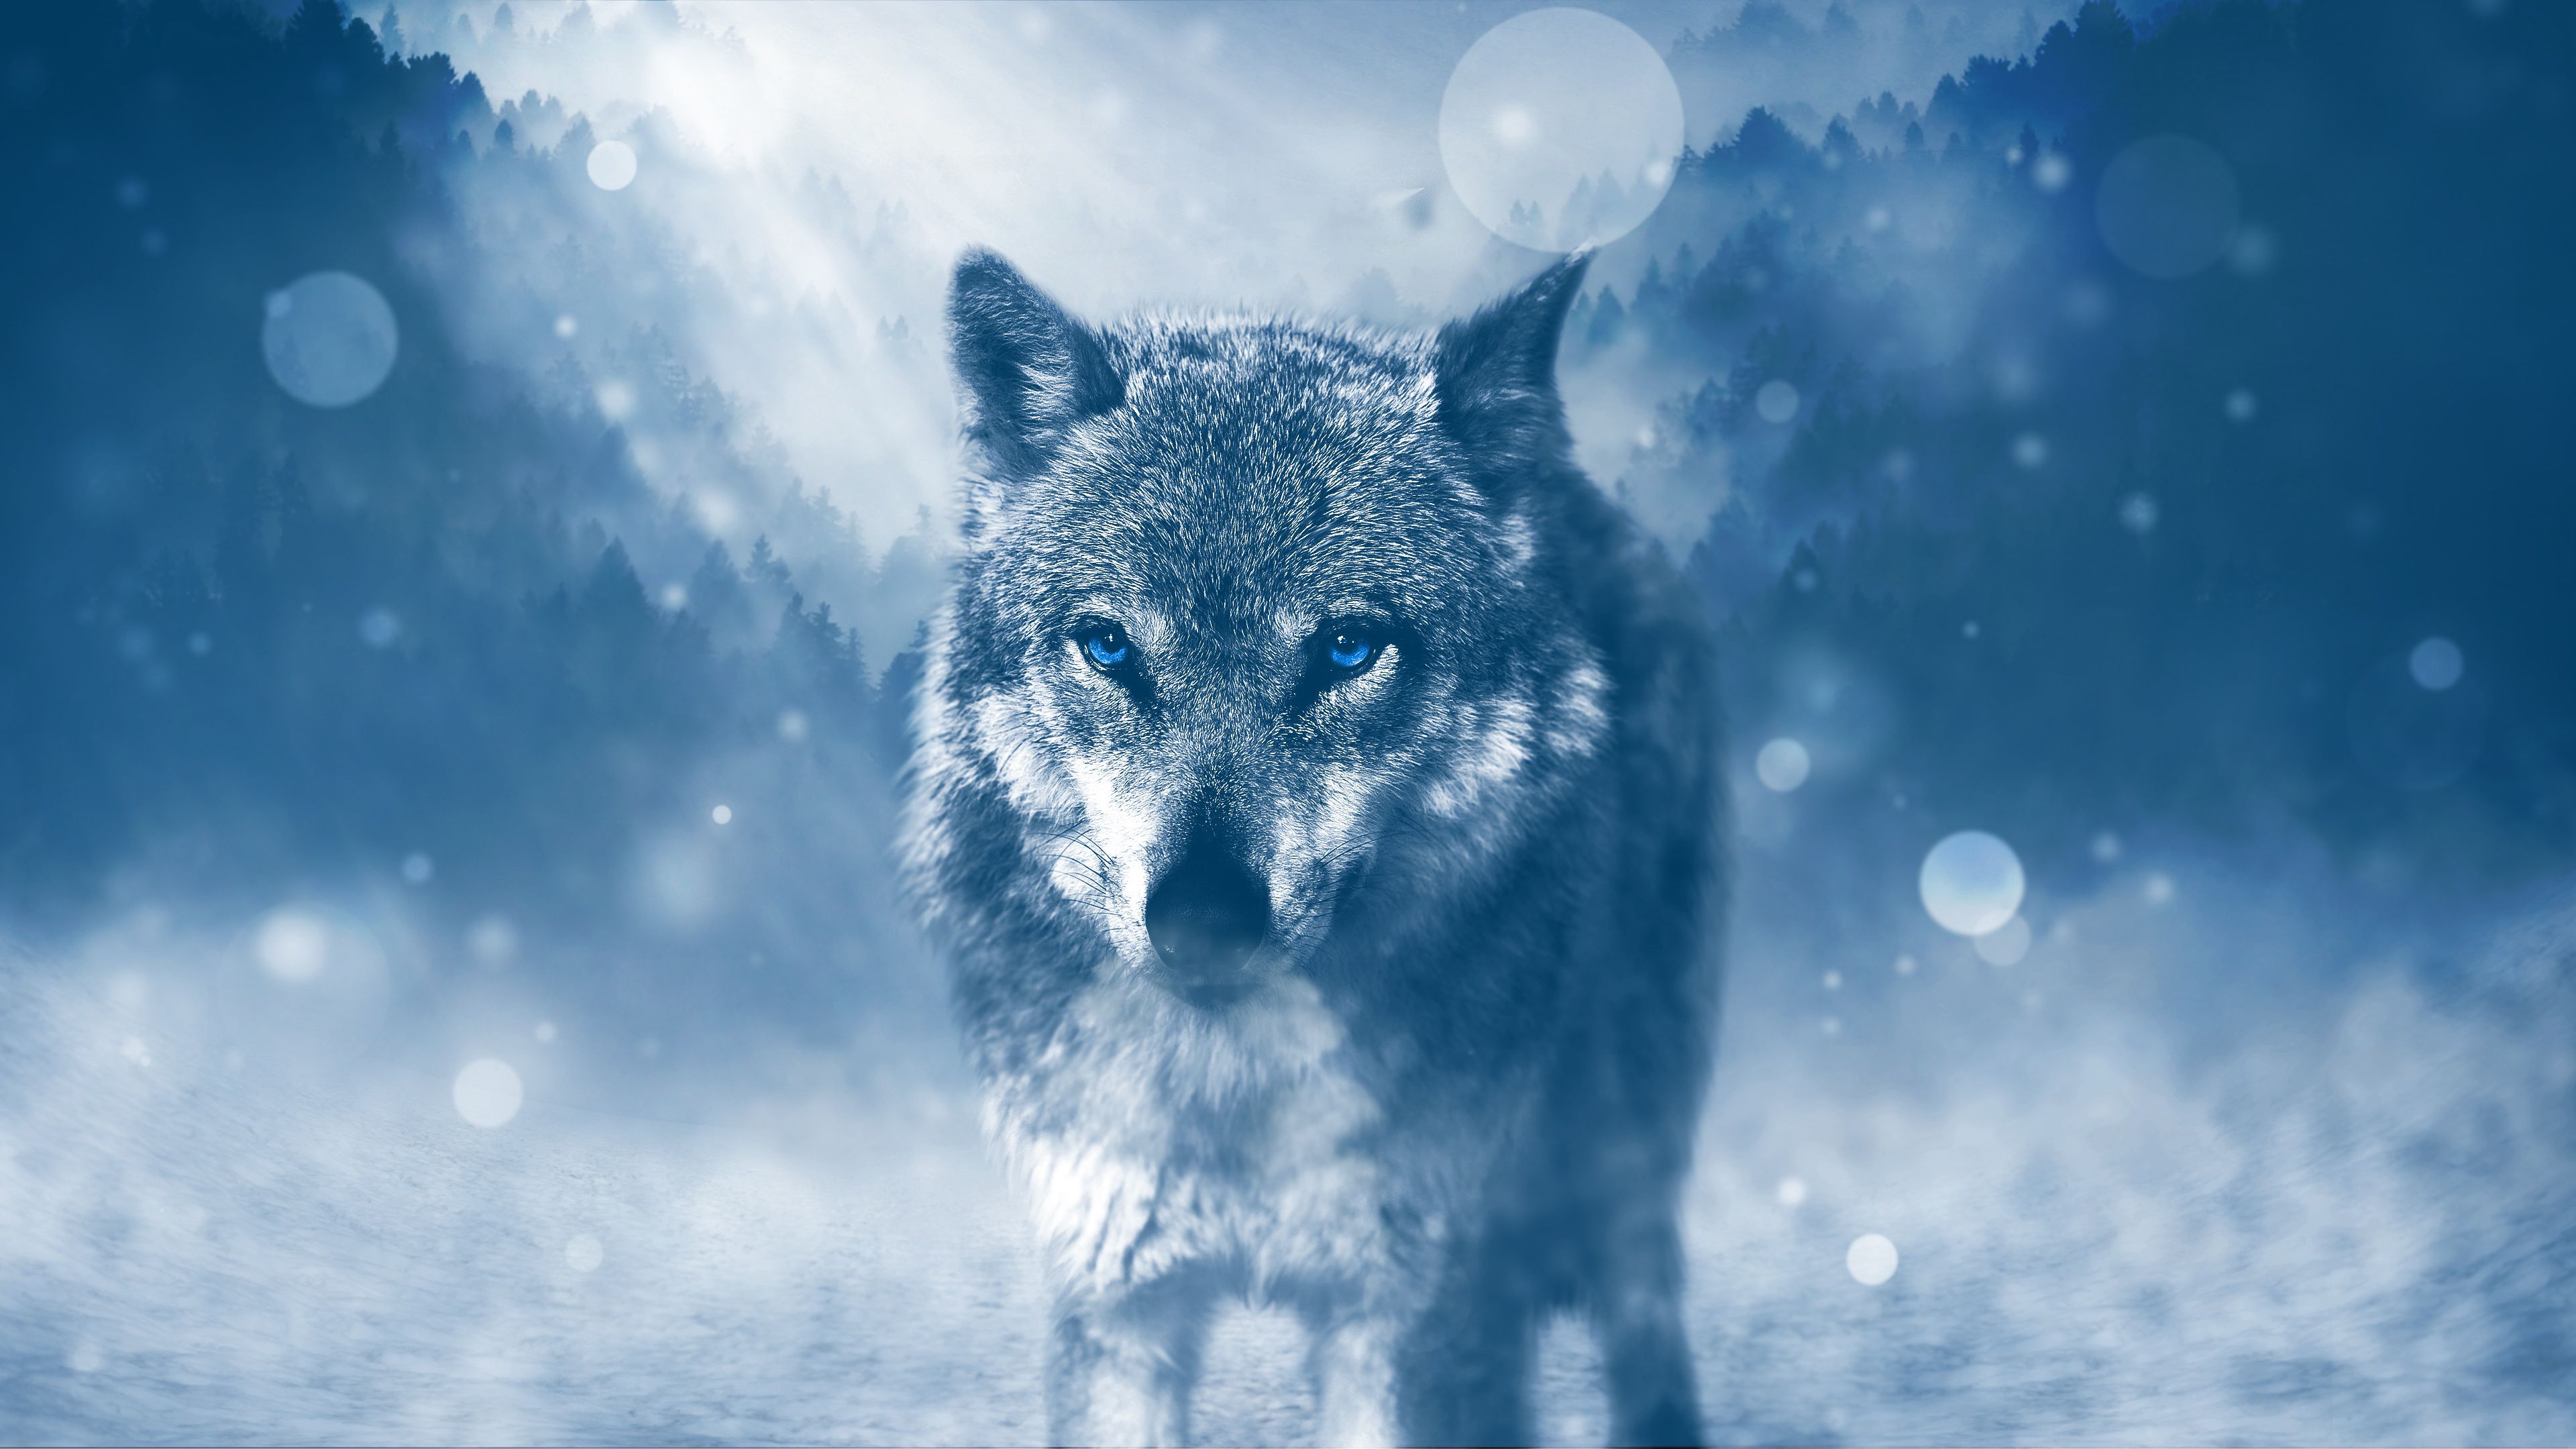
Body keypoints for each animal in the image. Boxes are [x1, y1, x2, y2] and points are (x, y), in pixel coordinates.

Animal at [901, 247, 1726, 1447]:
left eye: (1347, 648)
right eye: (1108, 646)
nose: (1202, 920)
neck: (1235, 1092)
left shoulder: (1411, 1314)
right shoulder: (1117, 1299)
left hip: (1624, 1138)